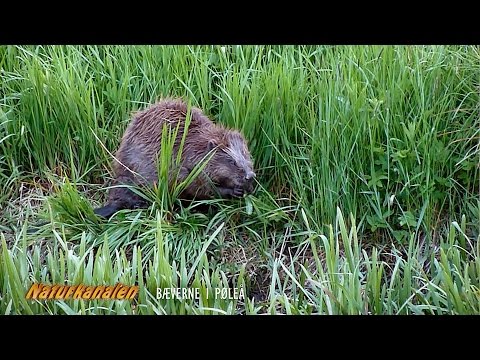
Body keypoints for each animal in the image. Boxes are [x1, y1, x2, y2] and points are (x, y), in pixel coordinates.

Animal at [95, 97, 256, 218]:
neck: (193, 146)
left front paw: (249, 188)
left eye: (246, 155)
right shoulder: (185, 169)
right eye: (232, 161)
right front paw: (234, 191)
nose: (250, 175)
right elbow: (201, 188)